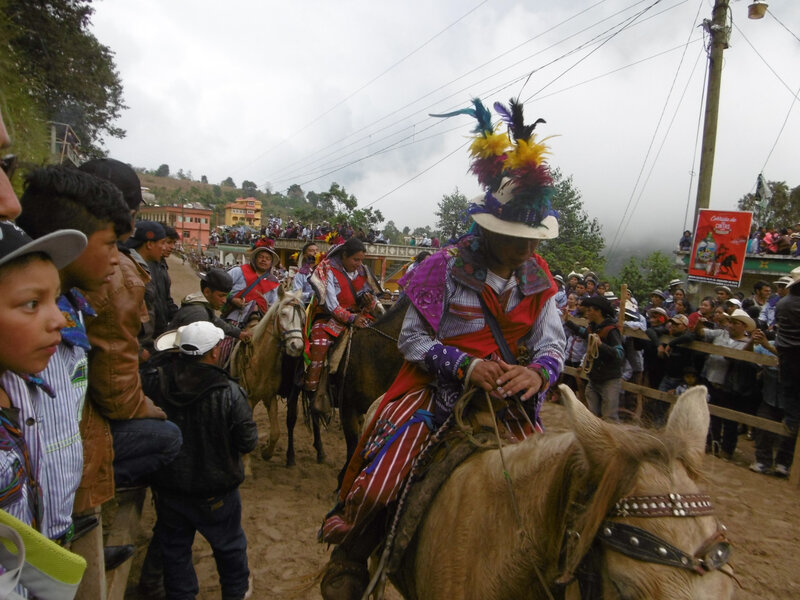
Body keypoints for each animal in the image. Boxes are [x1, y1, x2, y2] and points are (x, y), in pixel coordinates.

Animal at [231, 290, 310, 468]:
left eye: (303, 317)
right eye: (283, 314)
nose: (297, 346)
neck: (260, 360)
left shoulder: (270, 397)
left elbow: (276, 432)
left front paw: (266, 452)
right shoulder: (248, 399)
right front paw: (246, 465)